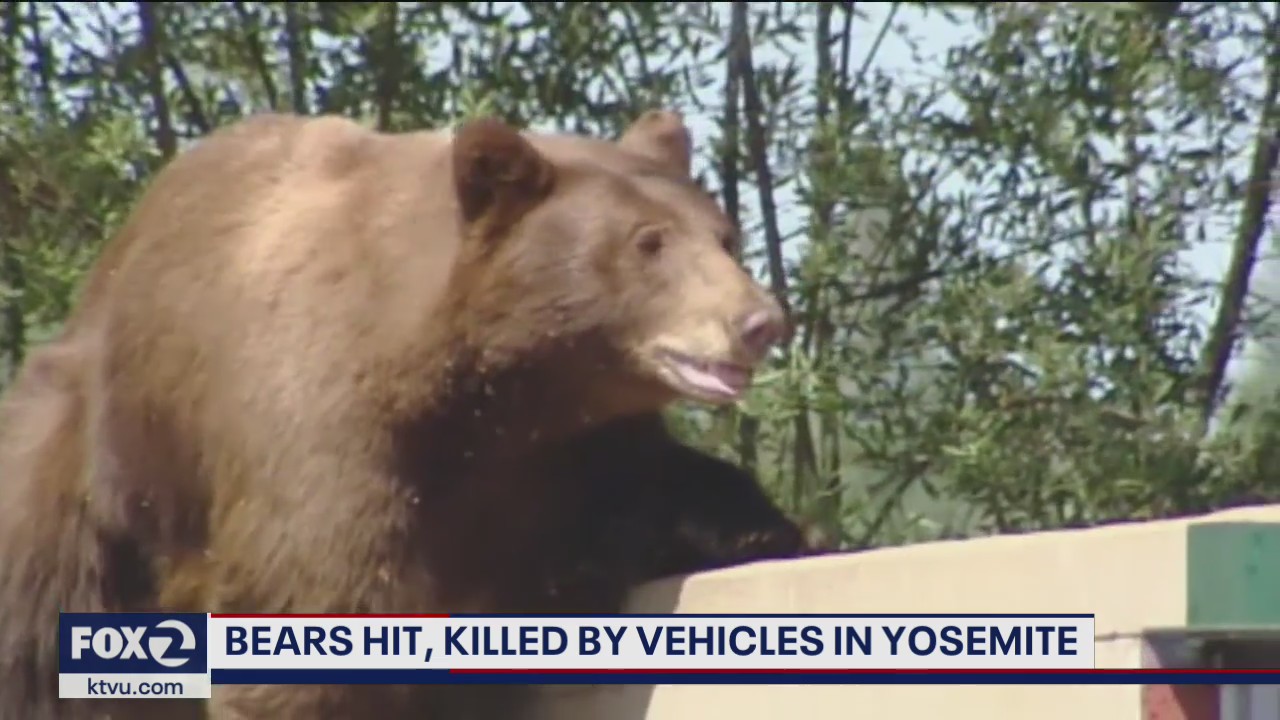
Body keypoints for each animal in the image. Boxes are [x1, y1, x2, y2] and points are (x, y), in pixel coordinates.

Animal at [0, 109, 820, 720]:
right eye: (648, 242)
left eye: (724, 236)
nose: (760, 321)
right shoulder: (329, 443)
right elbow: (313, 628)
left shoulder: (575, 451)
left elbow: (649, 497)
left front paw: (761, 528)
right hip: (87, 480)